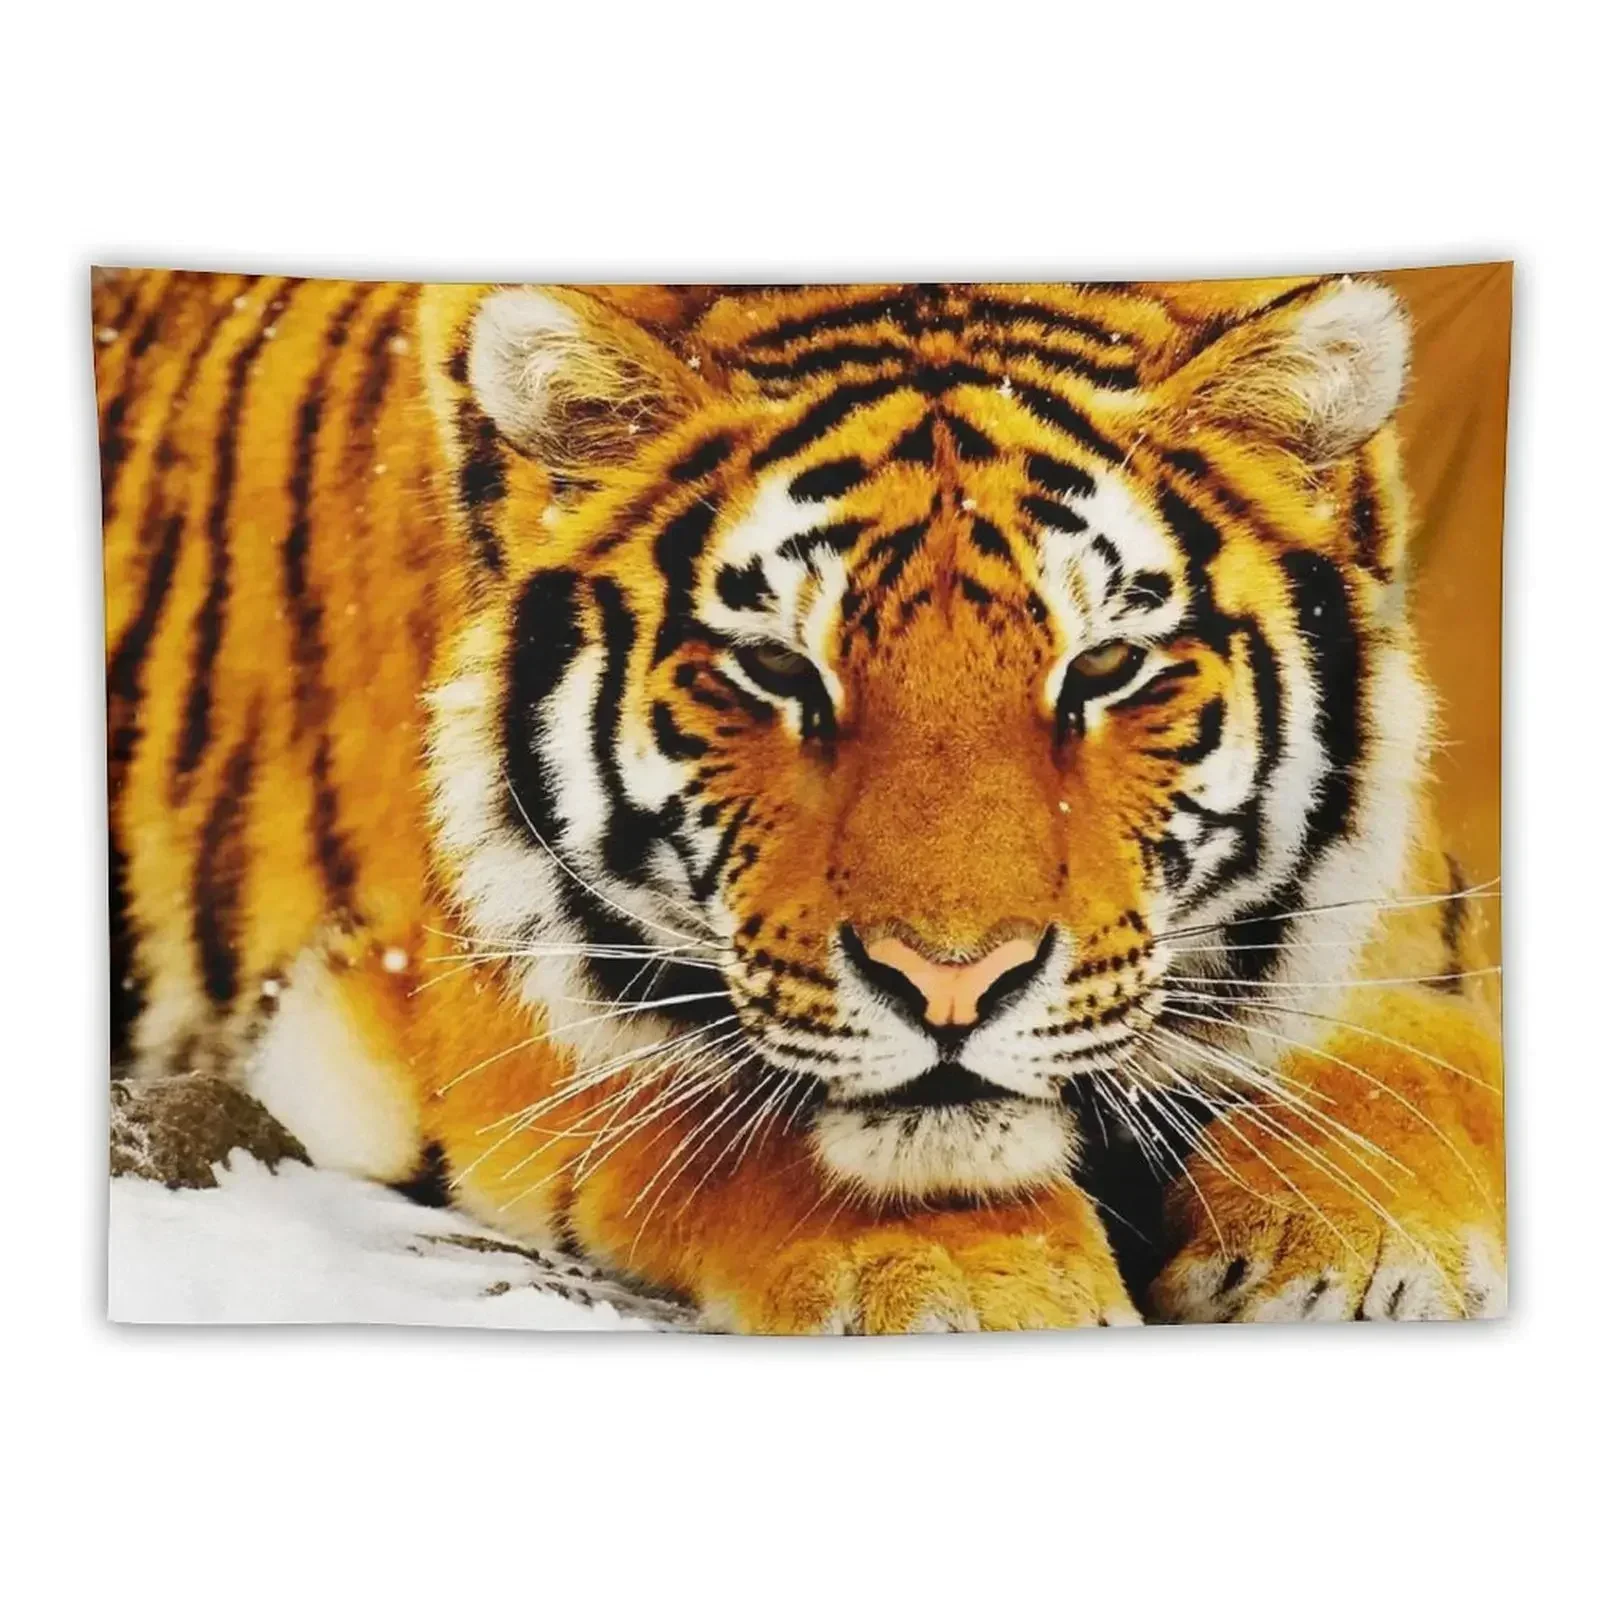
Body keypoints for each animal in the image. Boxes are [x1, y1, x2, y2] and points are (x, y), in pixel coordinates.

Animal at [96, 268, 1506, 1331]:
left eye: (1104, 668)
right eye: (777, 670)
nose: (951, 986)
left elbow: (1417, 1062)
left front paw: (1363, 1246)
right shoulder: (466, 991)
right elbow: (726, 1108)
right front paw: (967, 1279)